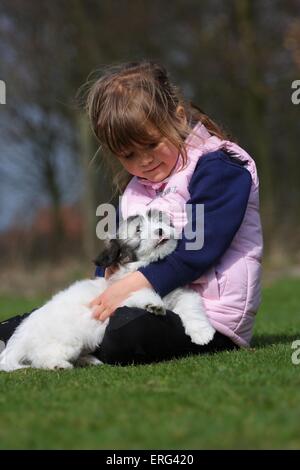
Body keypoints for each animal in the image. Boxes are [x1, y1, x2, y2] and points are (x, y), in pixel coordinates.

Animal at [0, 209, 216, 370]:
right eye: (138, 230)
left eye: (160, 221)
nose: (161, 231)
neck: (142, 266)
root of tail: (23, 334)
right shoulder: (117, 295)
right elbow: (137, 292)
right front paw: (153, 303)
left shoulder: (179, 293)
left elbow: (191, 305)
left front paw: (202, 333)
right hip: (66, 341)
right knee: (41, 357)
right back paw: (57, 365)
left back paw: (90, 360)